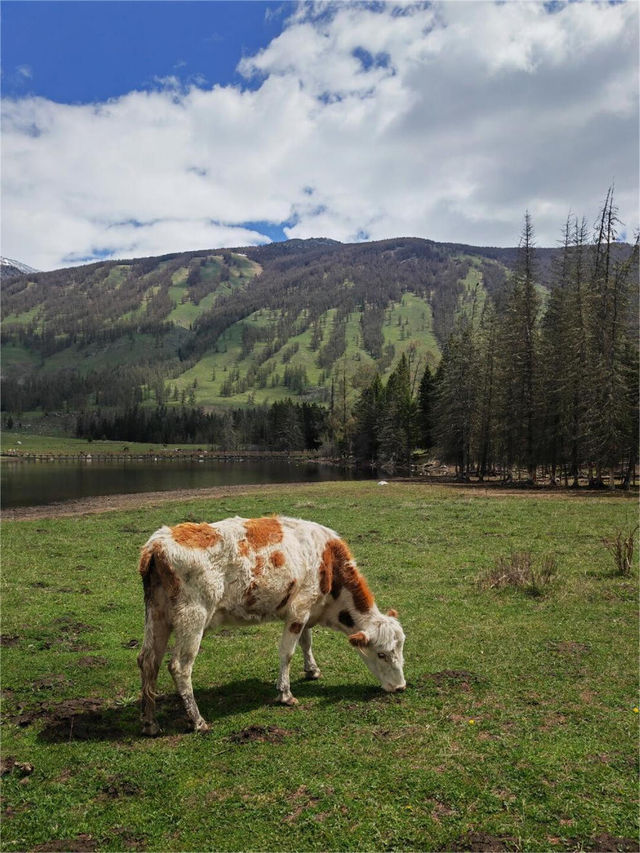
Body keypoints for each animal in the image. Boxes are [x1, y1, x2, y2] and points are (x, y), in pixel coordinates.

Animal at [136, 512, 404, 732]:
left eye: (400, 649)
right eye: (381, 654)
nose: (401, 686)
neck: (327, 560)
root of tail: (158, 542)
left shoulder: (305, 609)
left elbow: (306, 642)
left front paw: (312, 670)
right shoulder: (299, 609)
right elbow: (287, 652)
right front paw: (285, 694)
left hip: (158, 615)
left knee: (148, 660)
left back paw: (150, 723)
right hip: (193, 617)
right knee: (179, 667)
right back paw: (198, 721)